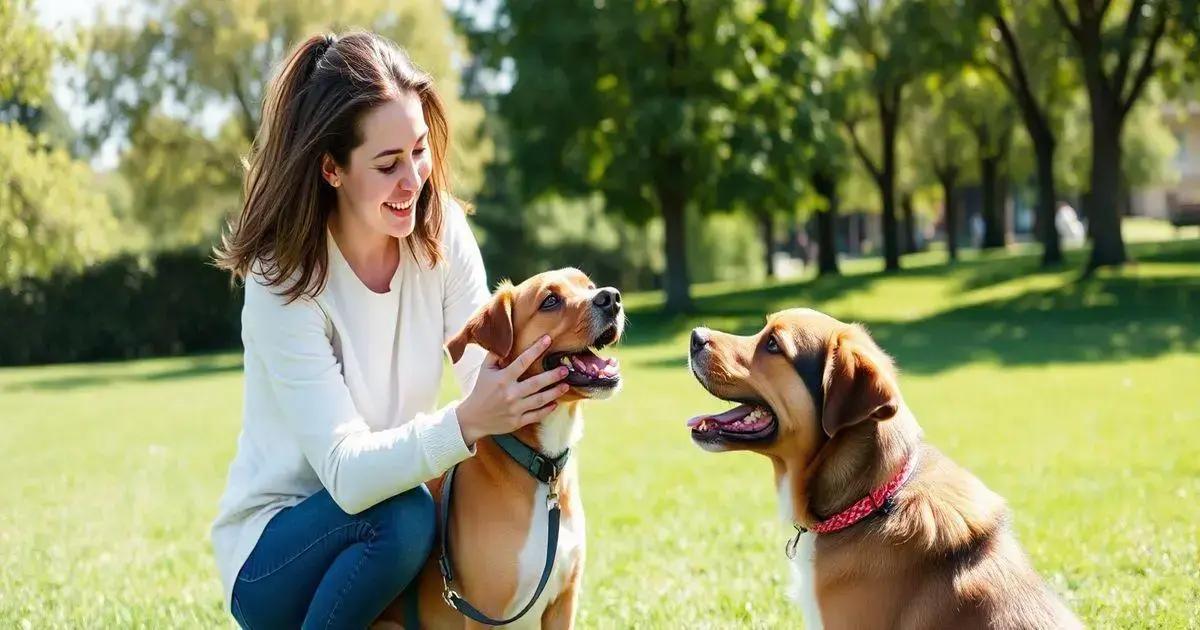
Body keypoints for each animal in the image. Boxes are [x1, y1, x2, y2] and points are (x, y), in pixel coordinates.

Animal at [376, 266, 624, 628]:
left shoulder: (563, 603)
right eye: (550, 301)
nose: (611, 297)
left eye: (588, 286)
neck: (541, 466)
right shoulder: (484, 611)